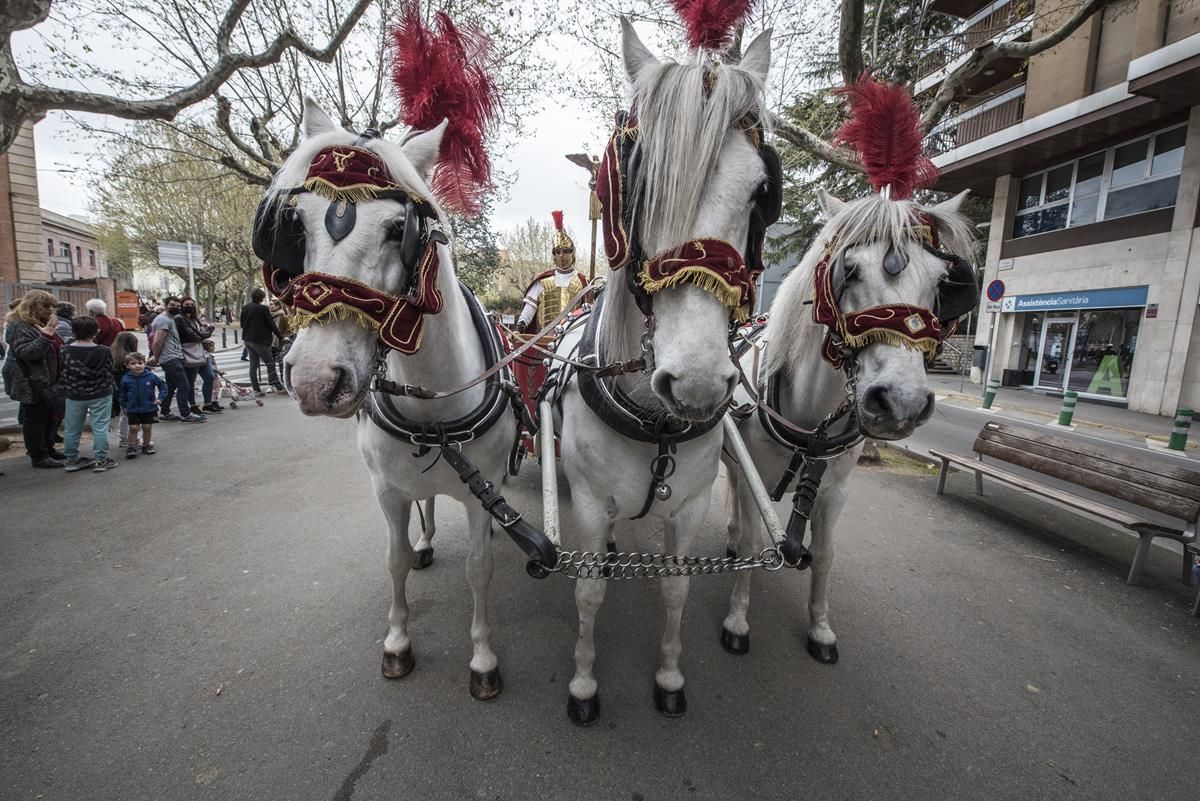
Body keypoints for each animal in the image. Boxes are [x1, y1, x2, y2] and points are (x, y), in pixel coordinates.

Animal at [278, 101, 518, 700]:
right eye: (301, 224)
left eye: (396, 230)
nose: (315, 378)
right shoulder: (386, 490)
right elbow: (395, 559)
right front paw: (397, 642)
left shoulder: (482, 492)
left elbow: (479, 567)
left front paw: (482, 657)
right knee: (425, 506)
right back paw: (428, 540)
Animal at [554, 18, 777, 724]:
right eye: (639, 182)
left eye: (761, 193)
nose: (699, 382)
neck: (652, 425)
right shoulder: (588, 503)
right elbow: (588, 595)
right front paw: (583, 684)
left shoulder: (690, 505)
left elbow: (675, 591)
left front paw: (671, 678)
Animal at [715, 189, 979, 661]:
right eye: (849, 270)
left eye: (942, 282)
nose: (902, 402)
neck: (811, 420)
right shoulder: (754, 476)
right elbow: (751, 541)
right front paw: (737, 622)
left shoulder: (834, 490)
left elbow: (825, 553)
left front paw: (820, 629)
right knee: (735, 496)